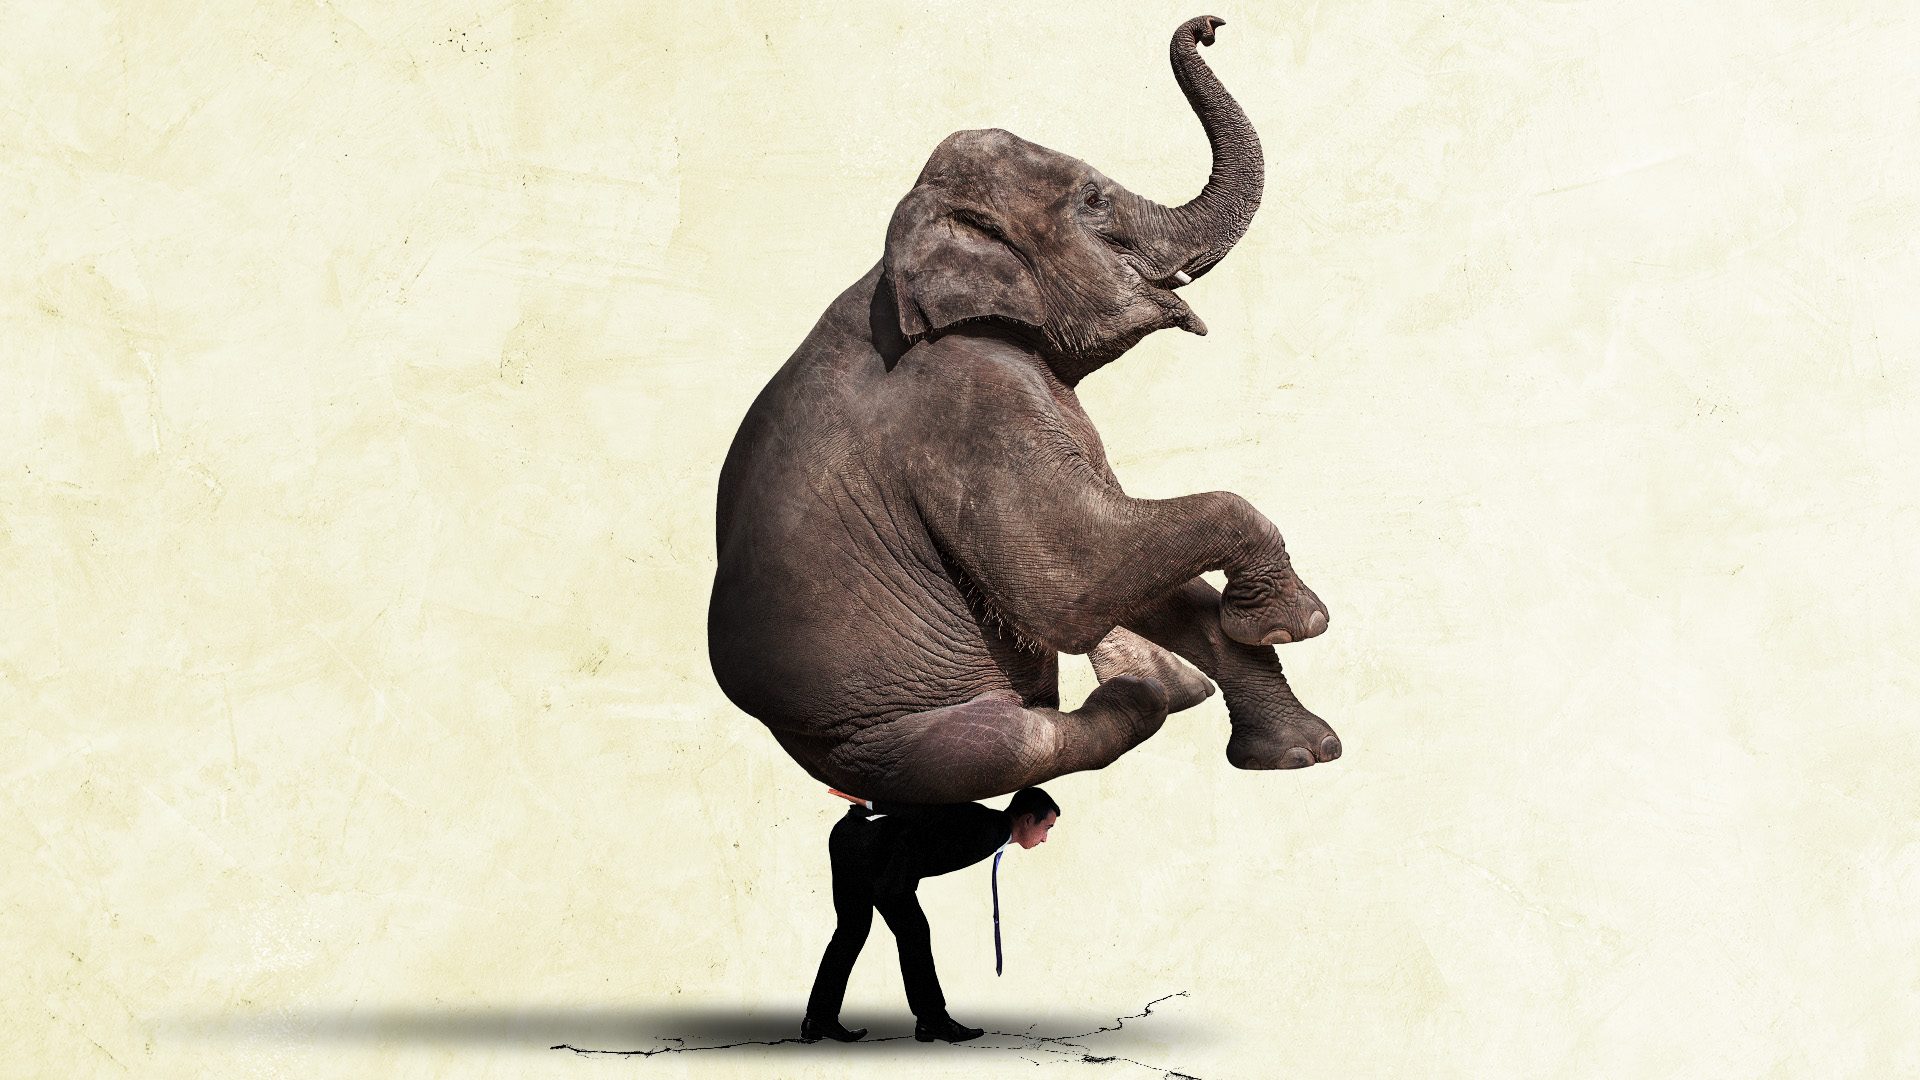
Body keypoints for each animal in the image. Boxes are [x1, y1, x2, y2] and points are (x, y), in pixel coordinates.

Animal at [709, 16, 1341, 804]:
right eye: (1093, 201)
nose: (1209, 28)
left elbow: (1133, 575)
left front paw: (1303, 751)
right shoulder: (972, 403)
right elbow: (1068, 580)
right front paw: (1299, 623)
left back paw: (1170, 685)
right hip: (873, 743)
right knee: (1011, 742)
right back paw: (1141, 696)